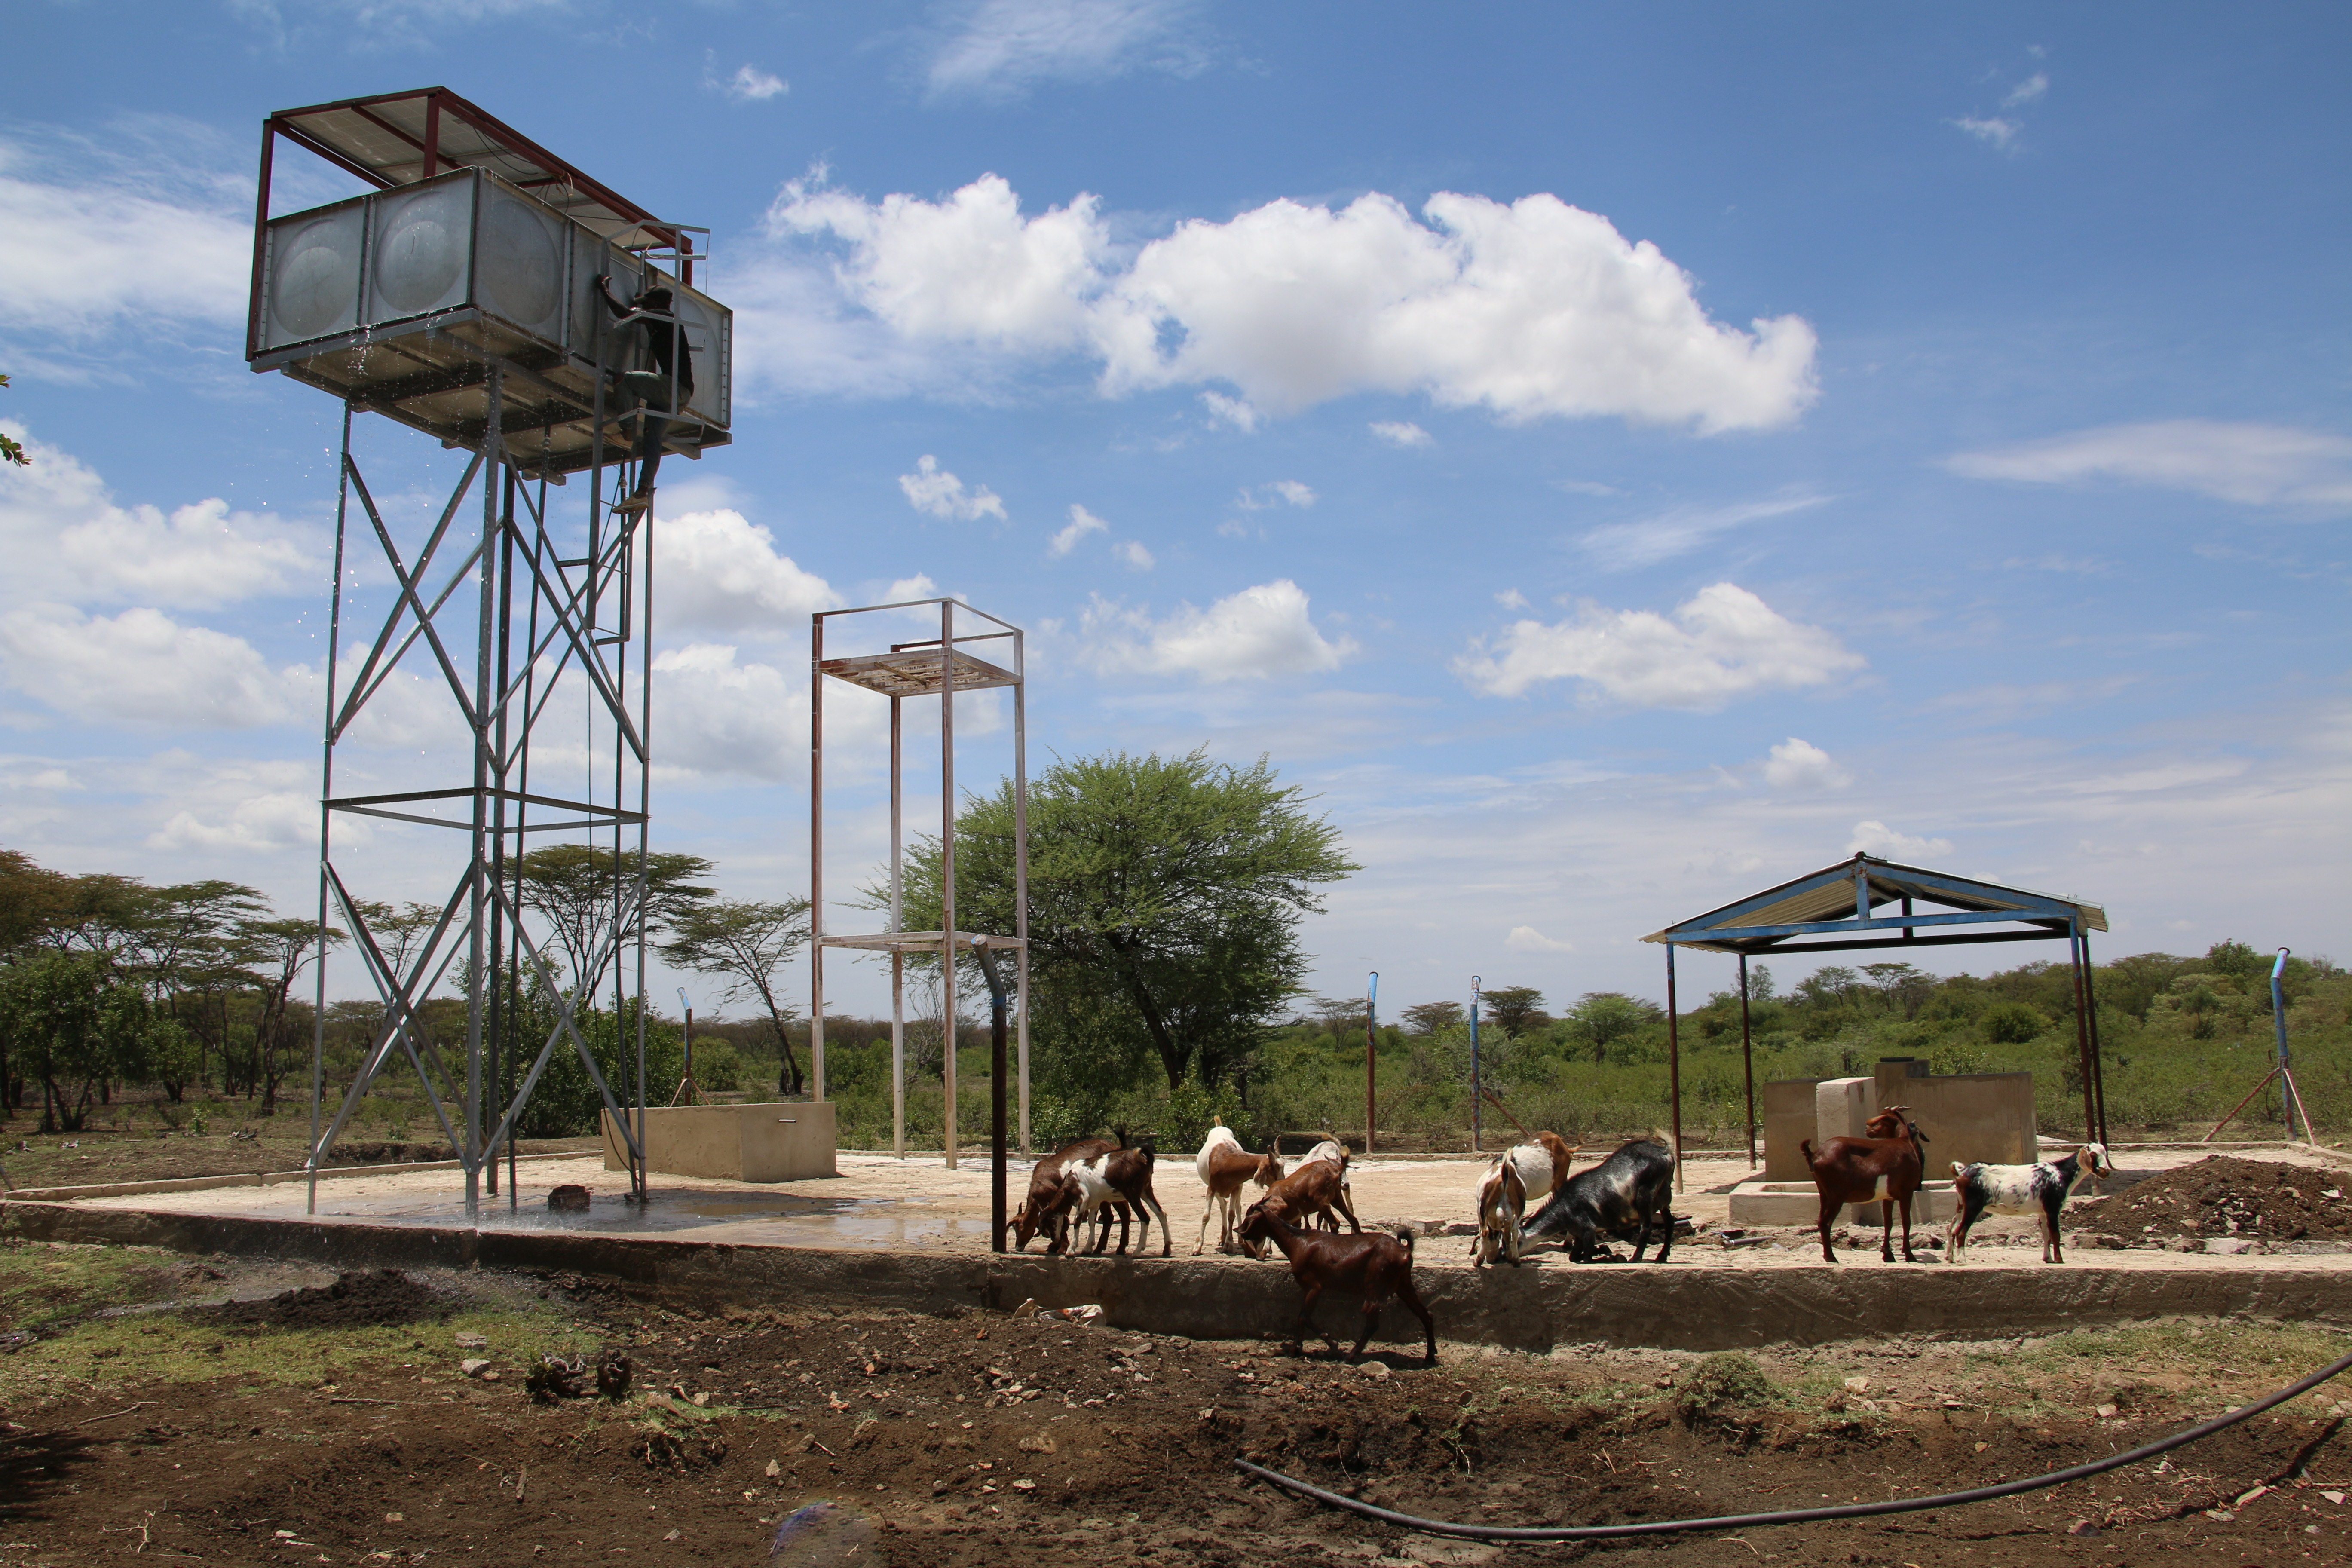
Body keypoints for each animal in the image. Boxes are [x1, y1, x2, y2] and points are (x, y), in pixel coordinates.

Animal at [1194, 1124, 1289, 1260]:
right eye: (1274, 1168)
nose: (1282, 1183)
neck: (1226, 1160)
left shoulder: (1236, 1188)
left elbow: (1232, 1214)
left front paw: (1229, 1245)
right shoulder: (1211, 1189)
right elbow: (1206, 1216)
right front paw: (1197, 1247)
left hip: (1239, 1188)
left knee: (1237, 1208)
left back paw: (1238, 1239)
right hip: (1216, 1189)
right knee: (1223, 1204)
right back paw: (1223, 1237)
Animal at [1232, 1213, 1430, 1363]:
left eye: (1252, 1219)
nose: (1239, 1231)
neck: (1297, 1243)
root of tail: (1405, 1251)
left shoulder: (1315, 1286)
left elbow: (1303, 1317)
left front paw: (1301, 1349)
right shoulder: (1309, 1288)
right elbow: (1304, 1317)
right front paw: (1319, 1346)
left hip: (1375, 1283)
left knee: (1373, 1322)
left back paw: (1351, 1356)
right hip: (1403, 1284)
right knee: (1424, 1314)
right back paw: (1430, 1357)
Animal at [1524, 1133, 1675, 1269]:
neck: (1564, 1209)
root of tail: (1664, 1152)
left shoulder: (1588, 1229)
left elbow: (1587, 1259)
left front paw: (1614, 1256)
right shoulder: (1580, 1234)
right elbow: (1575, 1257)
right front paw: (1605, 1250)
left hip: (1645, 1194)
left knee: (1647, 1226)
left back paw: (1635, 1258)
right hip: (1664, 1196)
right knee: (1669, 1222)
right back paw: (1662, 1256)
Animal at [1797, 1105, 1929, 1260]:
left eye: (1883, 1120)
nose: (1867, 1129)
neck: (1905, 1141)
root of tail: (1815, 1155)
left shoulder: (1888, 1197)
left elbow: (1888, 1223)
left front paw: (1888, 1255)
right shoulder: (1907, 1192)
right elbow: (1906, 1222)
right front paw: (1909, 1255)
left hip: (1824, 1193)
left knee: (1820, 1220)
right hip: (1837, 1196)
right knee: (1825, 1222)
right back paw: (1832, 1258)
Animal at [1947, 1142, 2116, 1260]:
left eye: (2105, 1154)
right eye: (2093, 1155)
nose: (2106, 1172)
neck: (2061, 1174)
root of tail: (1962, 1172)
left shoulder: (2042, 1212)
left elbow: (2046, 1235)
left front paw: (2048, 1259)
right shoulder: (2053, 1208)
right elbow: (2056, 1235)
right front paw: (2059, 1260)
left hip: (1961, 1205)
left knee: (1951, 1228)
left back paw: (1950, 1258)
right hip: (1973, 1206)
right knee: (1960, 1231)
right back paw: (1962, 1260)